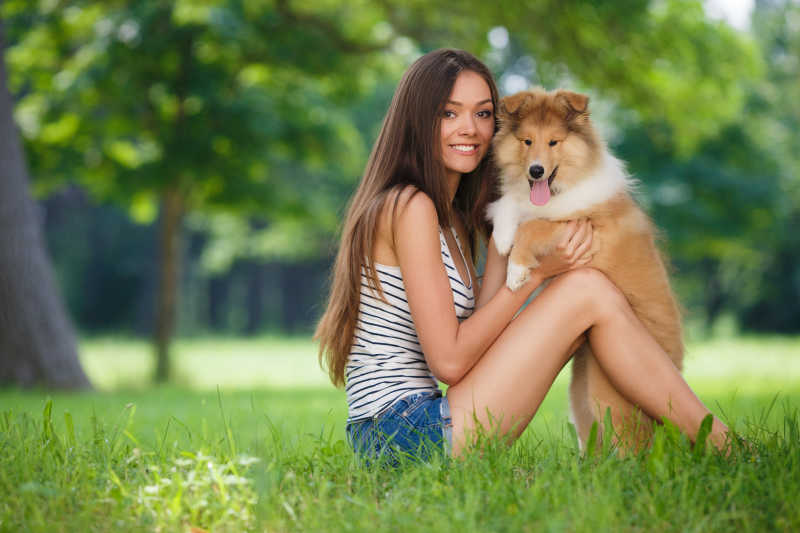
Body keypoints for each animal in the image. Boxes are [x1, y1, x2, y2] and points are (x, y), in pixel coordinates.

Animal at [488, 88, 680, 454]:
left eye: (554, 142)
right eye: (527, 140)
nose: (535, 171)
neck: (562, 187)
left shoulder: (583, 226)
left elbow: (534, 225)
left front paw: (516, 270)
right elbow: (510, 205)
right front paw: (503, 238)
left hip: (611, 394)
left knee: (635, 447)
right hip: (580, 394)